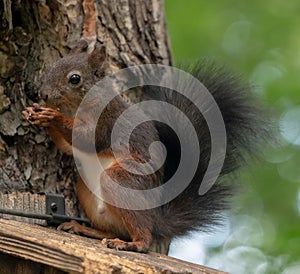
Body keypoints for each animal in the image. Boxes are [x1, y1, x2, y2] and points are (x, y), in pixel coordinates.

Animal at [22, 40, 268, 253]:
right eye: (51, 66)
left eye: (74, 79)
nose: (43, 94)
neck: (76, 107)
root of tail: (155, 218)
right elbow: (67, 146)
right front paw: (34, 112)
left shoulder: (105, 120)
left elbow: (85, 137)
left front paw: (52, 116)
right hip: (86, 190)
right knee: (112, 229)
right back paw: (82, 228)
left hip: (123, 182)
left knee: (144, 237)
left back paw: (132, 244)